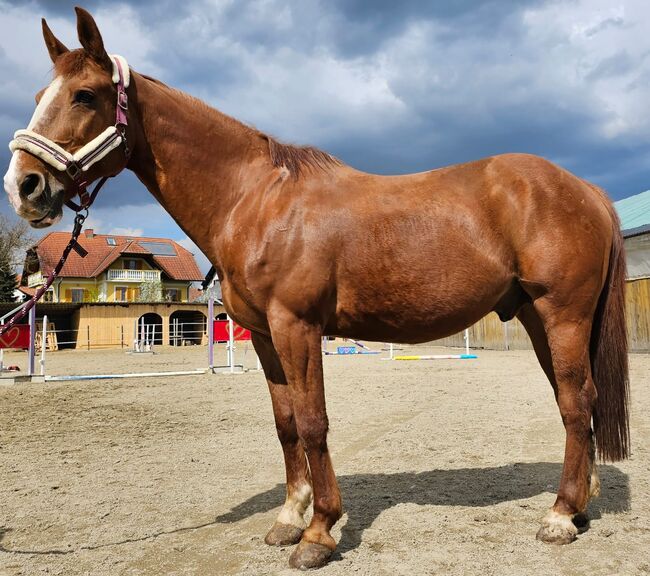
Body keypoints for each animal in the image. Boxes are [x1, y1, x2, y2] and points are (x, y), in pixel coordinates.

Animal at [1, 9, 628, 572]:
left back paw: (559, 516)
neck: (254, 199)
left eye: (84, 95)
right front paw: (288, 518)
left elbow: (313, 422)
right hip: (538, 319)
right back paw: (580, 504)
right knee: (577, 400)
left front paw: (320, 532)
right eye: (37, 92)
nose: (22, 186)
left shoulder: (297, 326)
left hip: (562, 315)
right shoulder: (262, 335)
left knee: (577, 403)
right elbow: (285, 425)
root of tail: (587, 189)